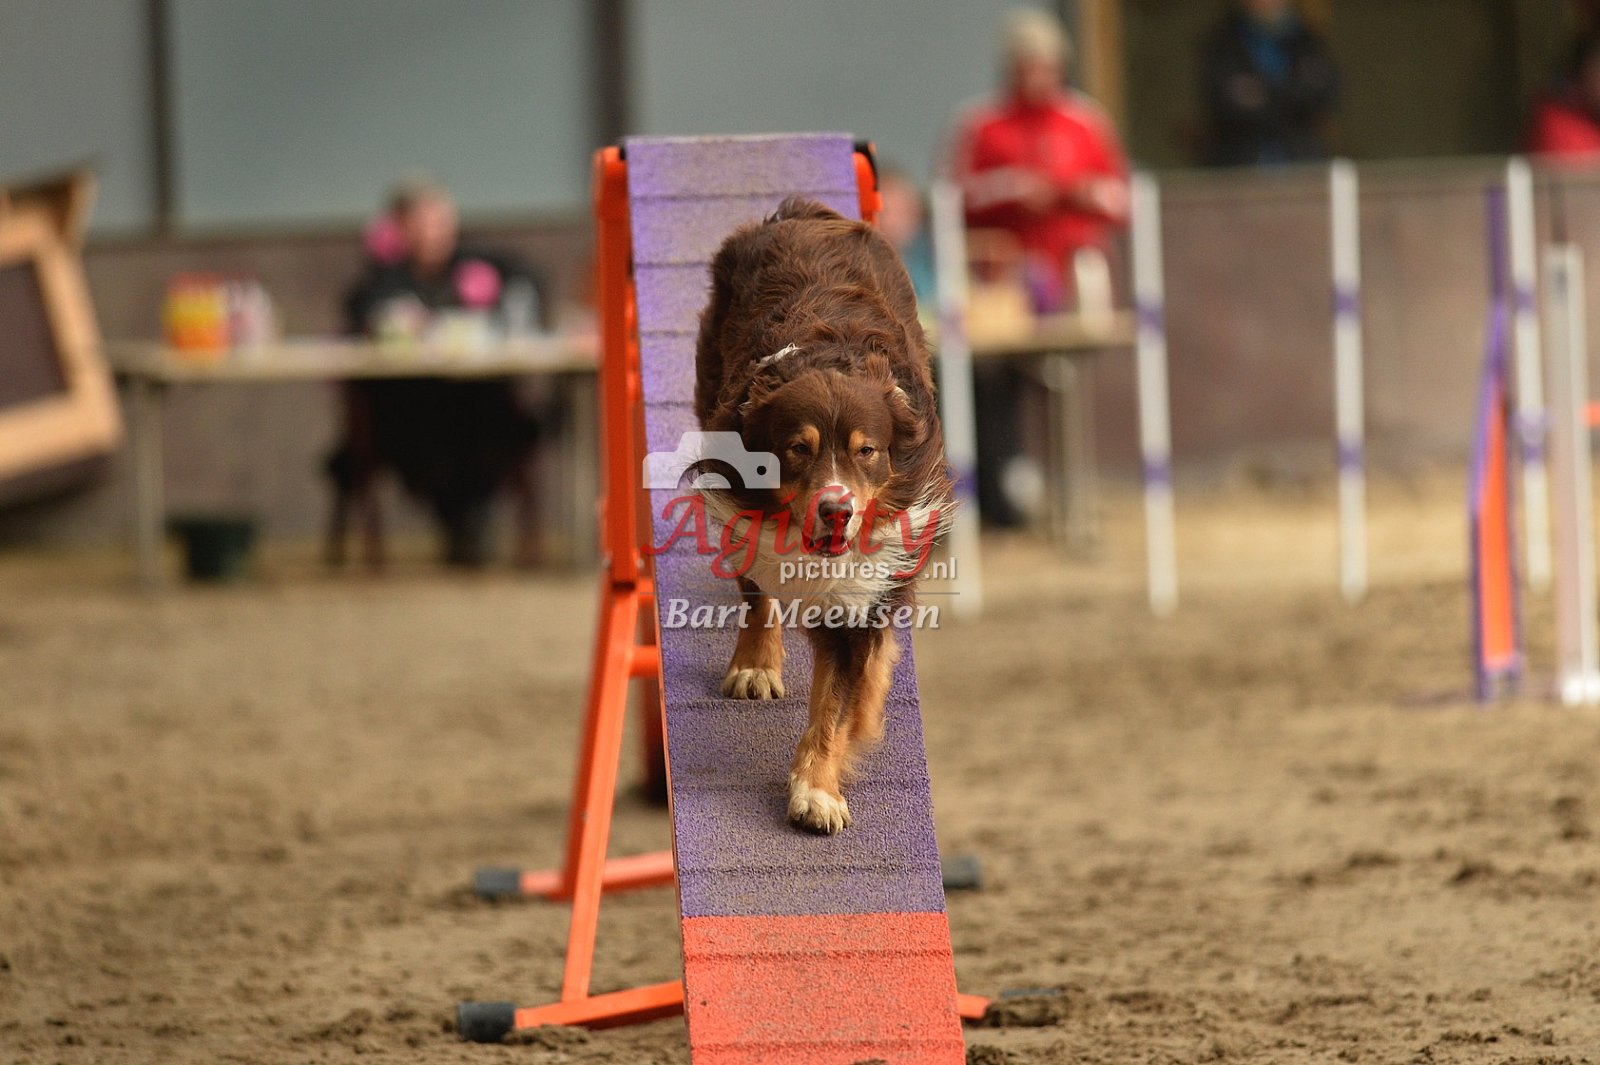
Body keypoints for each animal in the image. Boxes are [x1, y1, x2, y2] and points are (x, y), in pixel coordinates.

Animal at [693, 196, 953, 835]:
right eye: (797, 448)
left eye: (867, 450)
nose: (836, 509)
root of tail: (801, 212)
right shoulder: (739, 504)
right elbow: (758, 591)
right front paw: (758, 667)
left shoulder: (865, 590)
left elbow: (839, 702)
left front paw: (817, 791)